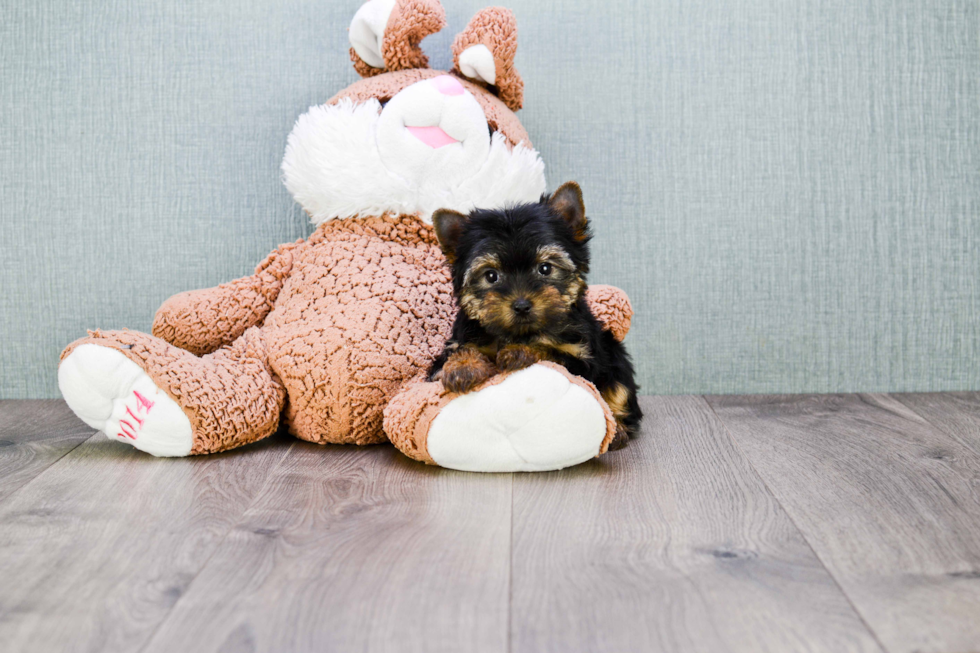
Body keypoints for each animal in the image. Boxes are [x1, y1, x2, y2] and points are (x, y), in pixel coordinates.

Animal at [428, 181, 644, 450]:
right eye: (491, 276)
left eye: (545, 268)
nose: (521, 305)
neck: (517, 332)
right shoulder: (454, 345)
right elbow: (458, 351)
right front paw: (463, 367)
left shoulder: (582, 358)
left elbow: (549, 350)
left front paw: (521, 350)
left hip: (614, 356)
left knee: (620, 391)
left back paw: (619, 430)